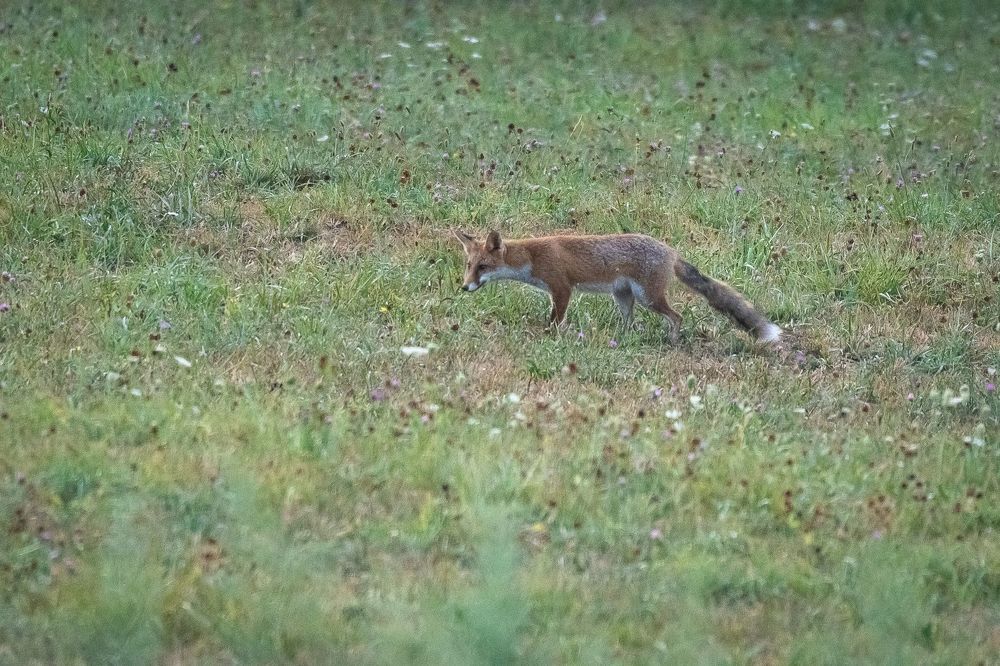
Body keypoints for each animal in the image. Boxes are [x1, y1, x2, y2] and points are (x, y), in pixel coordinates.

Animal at [453, 229, 782, 344]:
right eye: (469, 265)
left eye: (483, 267)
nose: (464, 288)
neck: (532, 258)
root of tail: (671, 251)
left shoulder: (562, 288)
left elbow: (555, 321)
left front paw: (550, 338)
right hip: (622, 297)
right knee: (630, 323)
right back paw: (622, 338)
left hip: (649, 297)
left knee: (677, 317)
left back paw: (673, 341)